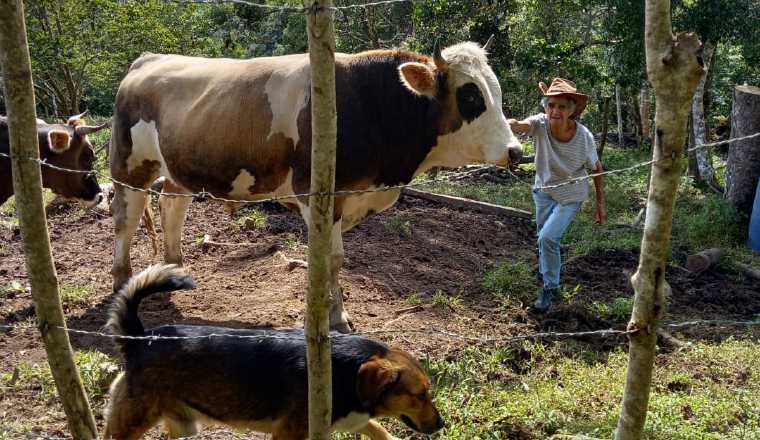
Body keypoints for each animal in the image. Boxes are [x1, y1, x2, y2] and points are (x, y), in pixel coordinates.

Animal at [102, 264, 446, 440]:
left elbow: (378, 429)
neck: (344, 373)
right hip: (132, 422)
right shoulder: (291, 434)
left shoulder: (352, 420)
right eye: (419, 396)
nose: (442, 424)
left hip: (183, 423)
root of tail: (140, 337)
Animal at [110, 41, 524, 332]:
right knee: (126, 220)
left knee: (171, 206)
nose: (515, 151)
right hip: (130, 166)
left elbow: (336, 259)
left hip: (178, 170)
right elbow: (329, 258)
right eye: (470, 95)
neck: (372, 104)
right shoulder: (318, 195)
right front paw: (335, 319)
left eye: (497, 92)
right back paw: (122, 281)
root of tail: (148, 59)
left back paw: (173, 269)